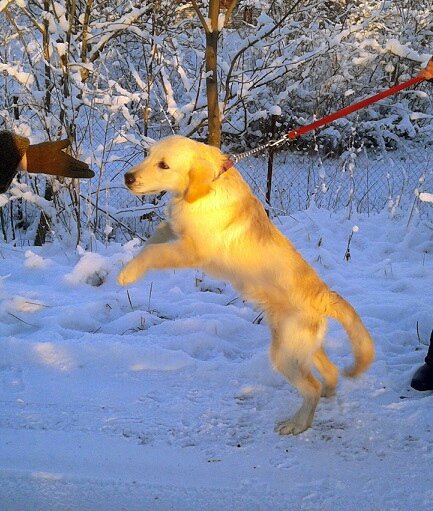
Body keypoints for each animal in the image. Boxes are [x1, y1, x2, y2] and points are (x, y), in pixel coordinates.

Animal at [116, 134, 372, 434]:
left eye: (164, 165)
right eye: (148, 154)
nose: (128, 177)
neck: (202, 191)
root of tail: (324, 295)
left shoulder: (192, 250)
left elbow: (155, 253)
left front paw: (127, 274)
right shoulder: (174, 230)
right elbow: (154, 238)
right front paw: (127, 263)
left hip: (286, 353)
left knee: (311, 387)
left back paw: (297, 425)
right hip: (298, 345)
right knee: (327, 373)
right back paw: (328, 395)